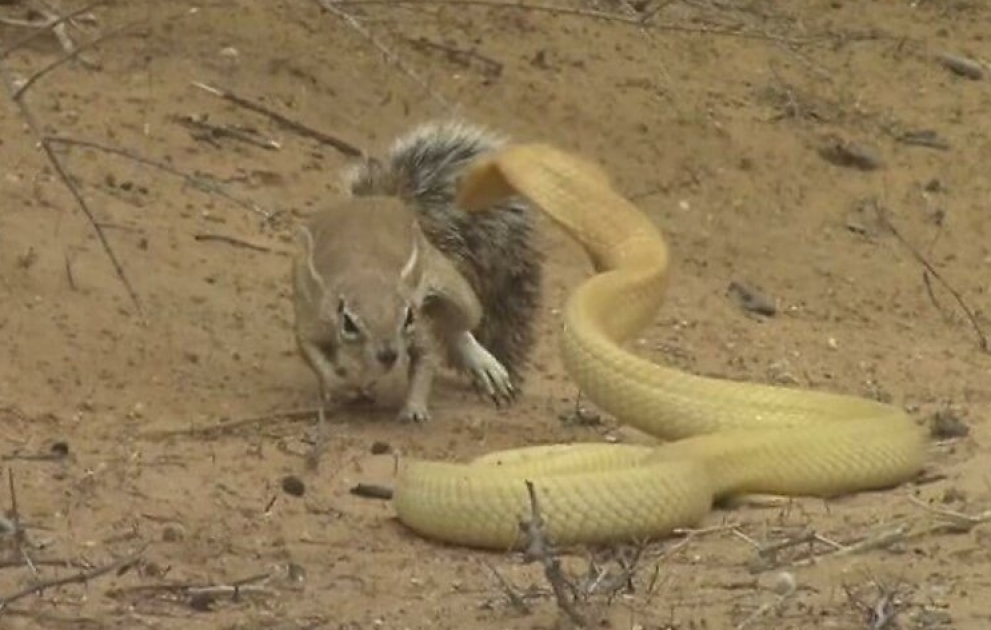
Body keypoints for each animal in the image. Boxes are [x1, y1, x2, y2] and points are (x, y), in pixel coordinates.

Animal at [292, 120, 545, 434]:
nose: (388, 355)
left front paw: (414, 408)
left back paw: (481, 361)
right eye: (349, 323)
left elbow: (425, 360)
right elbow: (313, 353)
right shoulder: (315, 318)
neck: (368, 275)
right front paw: (340, 385)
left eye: (408, 317)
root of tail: (392, 202)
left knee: (457, 324)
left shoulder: (419, 320)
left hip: (452, 284)